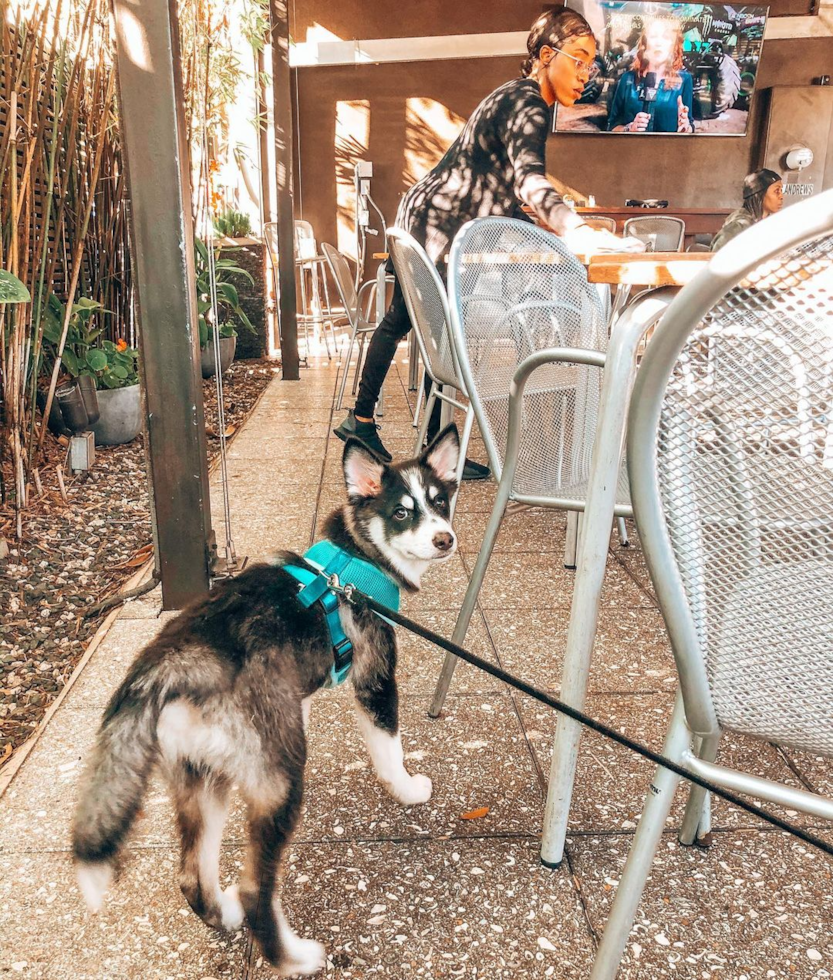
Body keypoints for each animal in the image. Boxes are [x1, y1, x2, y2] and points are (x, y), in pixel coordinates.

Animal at [71, 424, 462, 976]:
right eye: (402, 512)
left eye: (440, 501)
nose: (444, 539)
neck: (358, 558)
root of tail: (171, 665)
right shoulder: (375, 677)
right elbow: (390, 748)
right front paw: (407, 789)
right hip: (277, 783)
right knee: (257, 887)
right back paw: (295, 957)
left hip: (201, 775)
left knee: (193, 875)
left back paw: (225, 914)